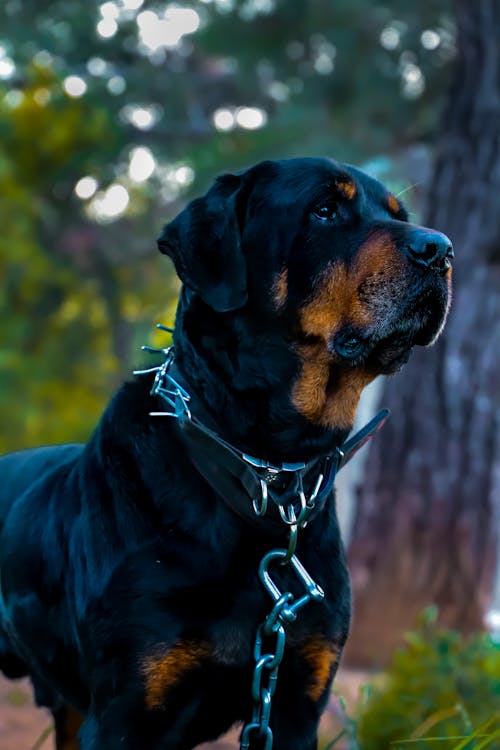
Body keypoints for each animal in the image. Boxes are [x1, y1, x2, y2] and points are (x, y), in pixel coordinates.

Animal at [0, 156, 454, 748]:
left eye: (399, 215)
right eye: (325, 209)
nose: (441, 249)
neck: (265, 475)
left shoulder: (295, 699)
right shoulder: (125, 710)